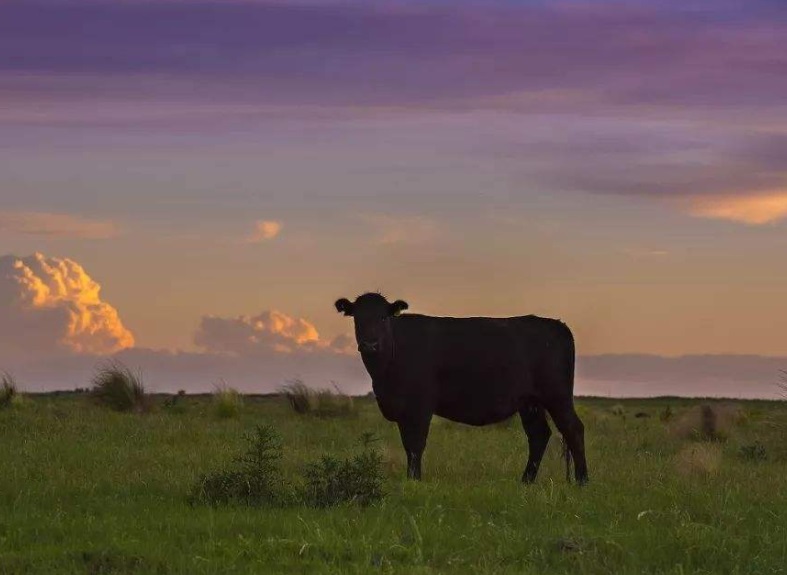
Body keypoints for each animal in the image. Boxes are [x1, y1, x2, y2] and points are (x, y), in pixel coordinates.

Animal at [336, 292, 588, 486]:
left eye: (382, 318)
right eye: (357, 318)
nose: (370, 344)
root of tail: (557, 324)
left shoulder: (420, 406)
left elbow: (416, 444)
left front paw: (415, 480)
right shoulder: (403, 409)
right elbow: (408, 444)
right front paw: (411, 478)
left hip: (557, 395)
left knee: (573, 429)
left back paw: (582, 481)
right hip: (530, 402)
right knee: (539, 435)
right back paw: (526, 481)